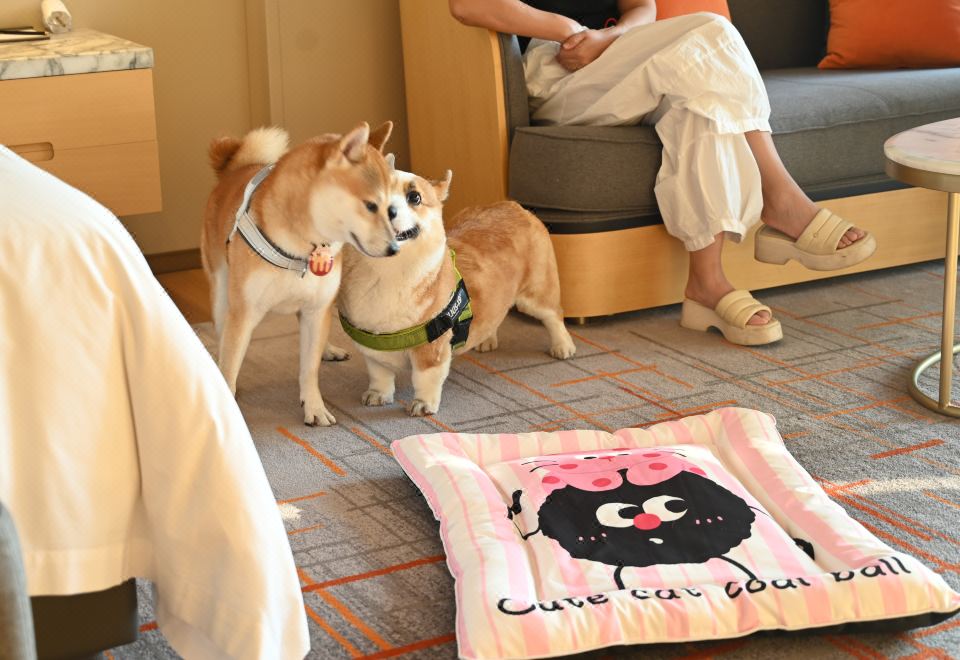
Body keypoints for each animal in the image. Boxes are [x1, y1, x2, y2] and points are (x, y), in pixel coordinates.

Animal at [201, 121, 398, 426]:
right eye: (370, 206)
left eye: (391, 209)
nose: (393, 248)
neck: (304, 247)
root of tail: (234, 169)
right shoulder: (244, 313)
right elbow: (231, 364)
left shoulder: (317, 308)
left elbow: (309, 369)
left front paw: (314, 408)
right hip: (221, 289)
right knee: (222, 328)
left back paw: (327, 349)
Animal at [337, 161, 576, 416]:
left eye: (415, 197)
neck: (384, 272)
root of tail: (514, 206)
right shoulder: (372, 348)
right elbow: (379, 374)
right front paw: (378, 395)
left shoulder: (431, 349)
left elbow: (425, 379)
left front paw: (424, 405)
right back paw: (486, 339)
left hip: (536, 294)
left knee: (553, 315)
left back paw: (563, 346)